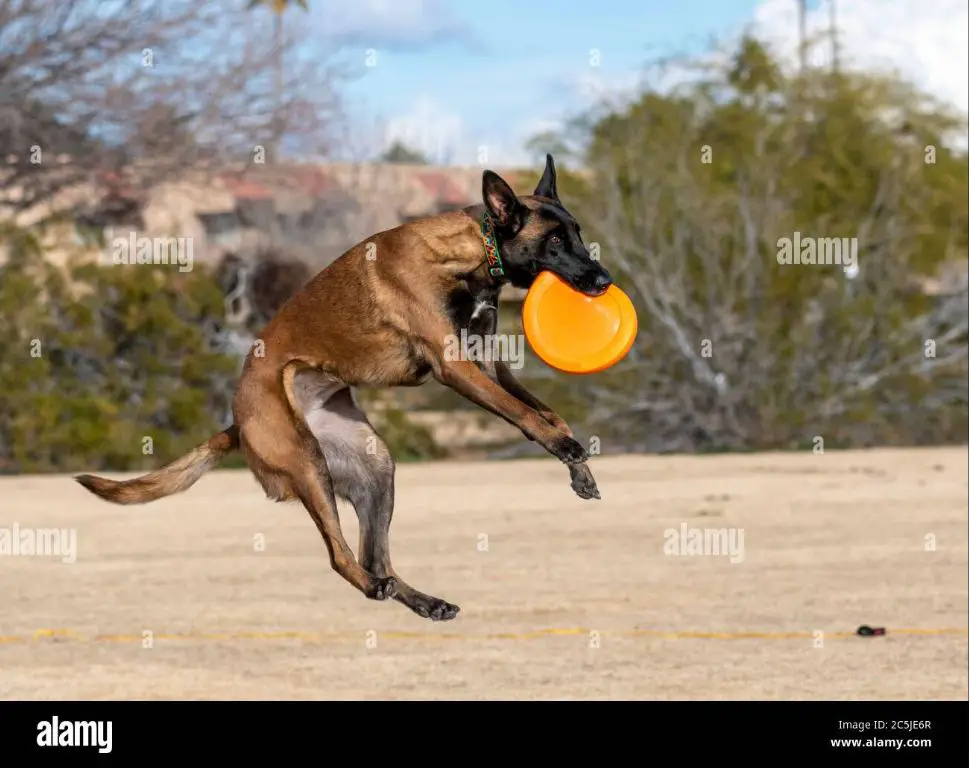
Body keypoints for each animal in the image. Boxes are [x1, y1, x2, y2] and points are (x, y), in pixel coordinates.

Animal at [79, 153, 616, 620]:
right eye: (554, 241)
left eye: (577, 232)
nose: (604, 280)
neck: (469, 254)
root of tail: (237, 421)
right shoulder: (455, 365)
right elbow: (523, 413)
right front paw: (566, 450)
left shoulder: (487, 361)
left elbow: (544, 411)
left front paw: (579, 467)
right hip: (307, 463)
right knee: (343, 559)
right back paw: (375, 587)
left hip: (375, 467)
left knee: (377, 557)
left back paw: (423, 601)